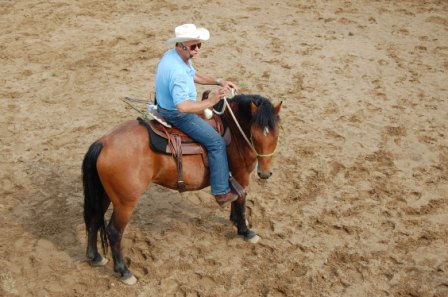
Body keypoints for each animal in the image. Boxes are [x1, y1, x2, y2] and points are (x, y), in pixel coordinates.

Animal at [82, 93, 282, 284]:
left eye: (276, 134)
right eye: (255, 135)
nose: (265, 174)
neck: (233, 130)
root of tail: (103, 142)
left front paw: (236, 221)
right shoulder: (241, 175)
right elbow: (241, 200)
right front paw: (245, 231)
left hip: (105, 195)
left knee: (94, 219)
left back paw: (95, 257)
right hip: (125, 203)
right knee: (114, 232)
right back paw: (124, 272)